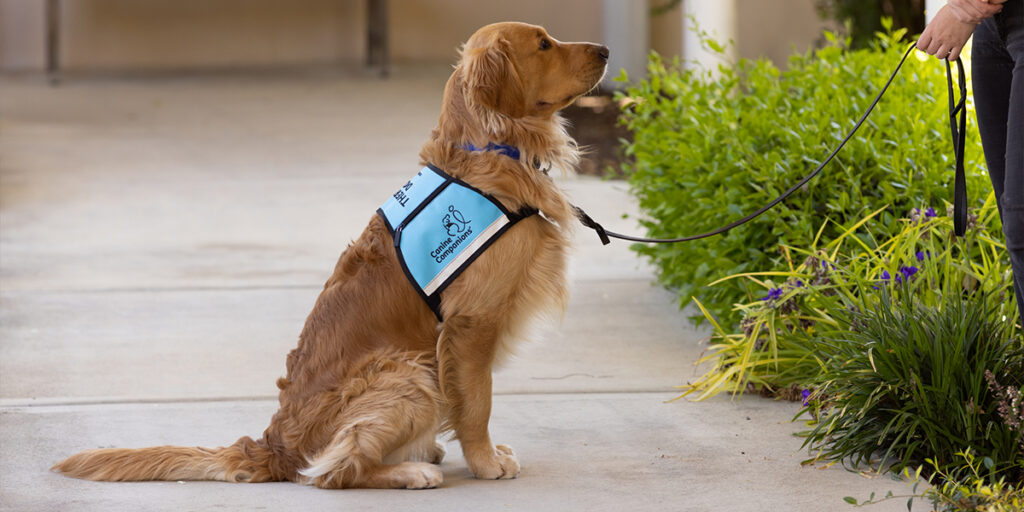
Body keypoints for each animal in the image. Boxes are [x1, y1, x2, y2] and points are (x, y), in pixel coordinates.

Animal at [51, 22, 602, 489]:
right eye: (544, 44)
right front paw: (485, 462)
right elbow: (479, 402)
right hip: (408, 371)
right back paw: (410, 471)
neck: (487, 148)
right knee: (334, 471)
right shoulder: (472, 322)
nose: (605, 51)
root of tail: (273, 445)